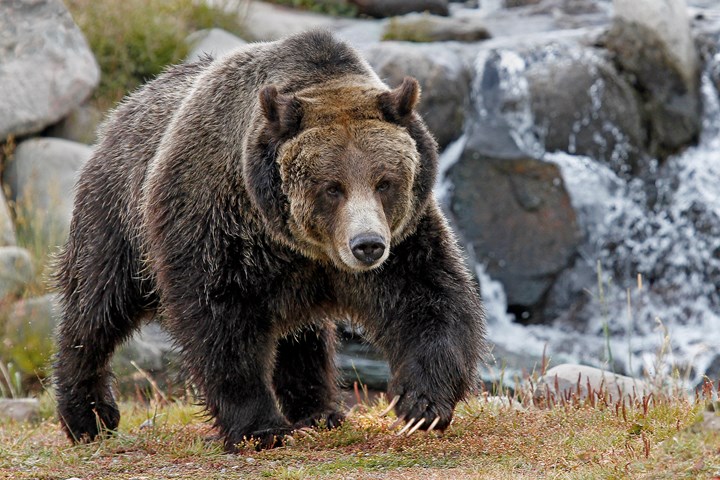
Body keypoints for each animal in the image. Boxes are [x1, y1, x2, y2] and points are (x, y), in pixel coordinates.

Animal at [53, 30, 486, 450]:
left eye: (385, 182)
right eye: (332, 187)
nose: (367, 245)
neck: (298, 244)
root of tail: (125, 108)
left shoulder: (403, 239)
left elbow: (429, 299)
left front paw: (421, 405)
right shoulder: (217, 225)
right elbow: (220, 322)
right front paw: (260, 428)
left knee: (302, 337)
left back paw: (319, 411)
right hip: (119, 216)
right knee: (97, 308)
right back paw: (89, 415)